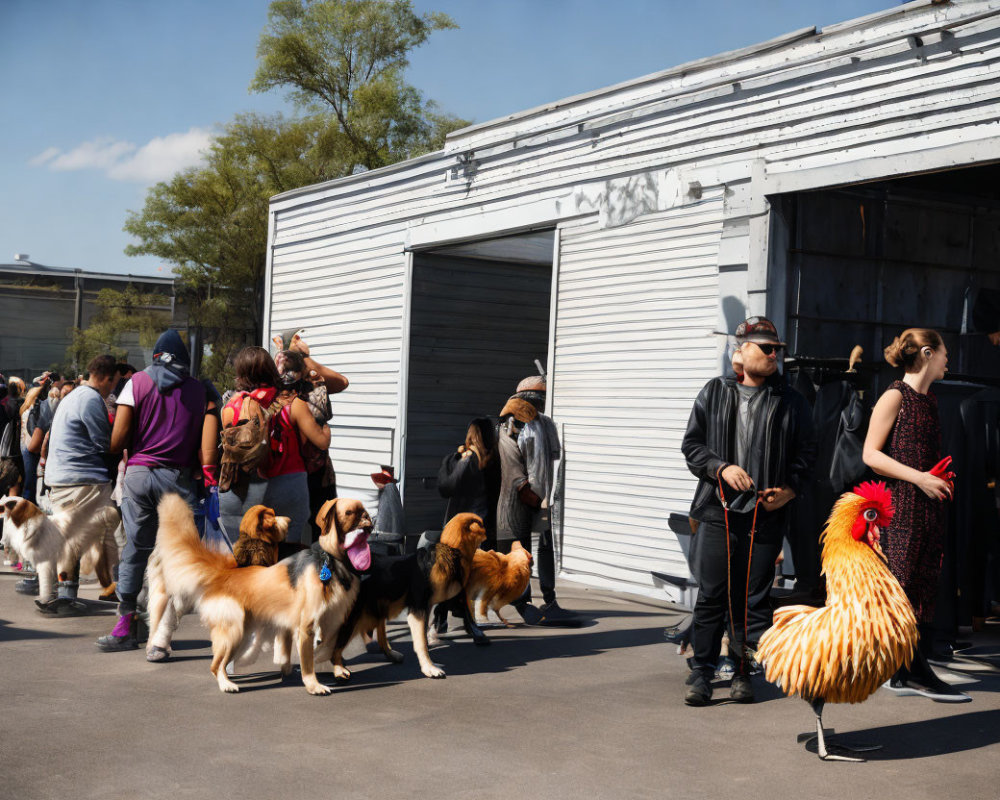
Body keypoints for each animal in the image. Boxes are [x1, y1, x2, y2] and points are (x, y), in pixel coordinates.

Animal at [152, 494, 376, 692]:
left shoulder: (334, 621)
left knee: (222, 662)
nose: (369, 522)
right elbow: (308, 663)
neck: (330, 560)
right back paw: (227, 685)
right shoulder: (306, 627)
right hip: (234, 631)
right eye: (349, 513)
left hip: (242, 632)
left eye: (364, 512)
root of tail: (224, 572)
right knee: (216, 665)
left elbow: (333, 649)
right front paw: (314, 686)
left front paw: (337, 670)